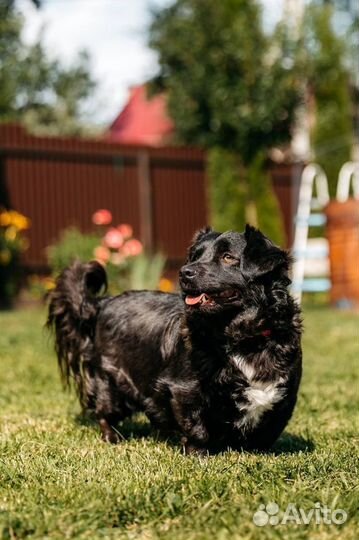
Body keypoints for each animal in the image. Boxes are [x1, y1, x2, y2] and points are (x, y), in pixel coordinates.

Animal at [47, 226, 300, 454]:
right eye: (196, 256)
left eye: (228, 257)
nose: (184, 272)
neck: (242, 339)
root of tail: (103, 303)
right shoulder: (185, 391)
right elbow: (197, 428)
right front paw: (198, 455)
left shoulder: (283, 397)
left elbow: (267, 432)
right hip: (111, 383)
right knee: (104, 413)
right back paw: (112, 438)